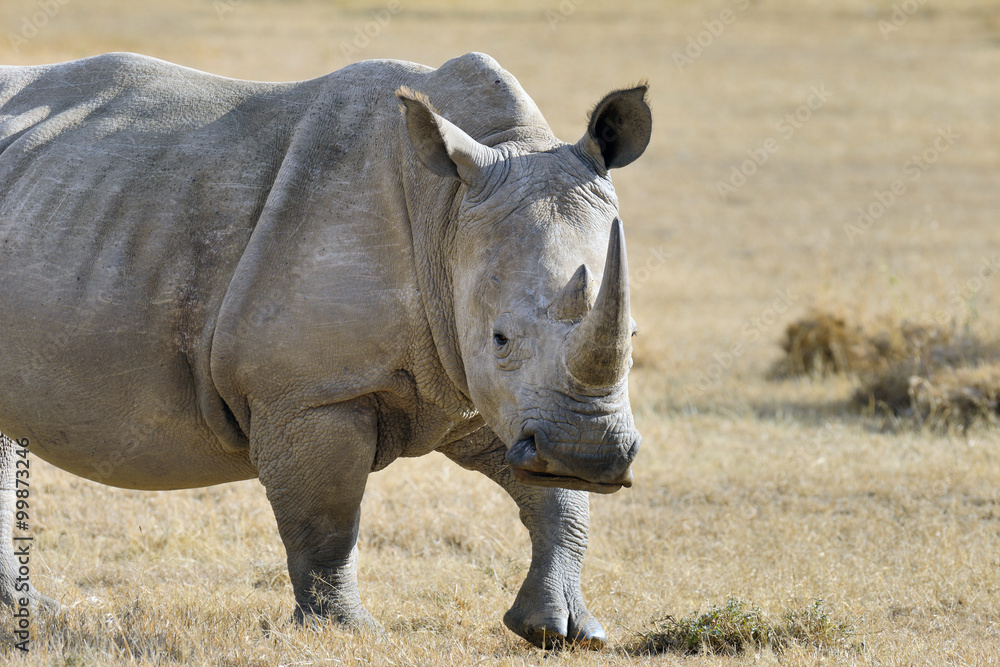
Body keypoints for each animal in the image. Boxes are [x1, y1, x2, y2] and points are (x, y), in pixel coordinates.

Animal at [0, 51, 650, 648]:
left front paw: (562, 631)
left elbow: (557, 500)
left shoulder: (500, 400)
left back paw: (39, 613)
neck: (445, 211)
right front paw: (349, 634)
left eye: (634, 335)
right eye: (500, 338)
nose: (590, 455)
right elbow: (328, 522)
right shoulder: (310, 392)